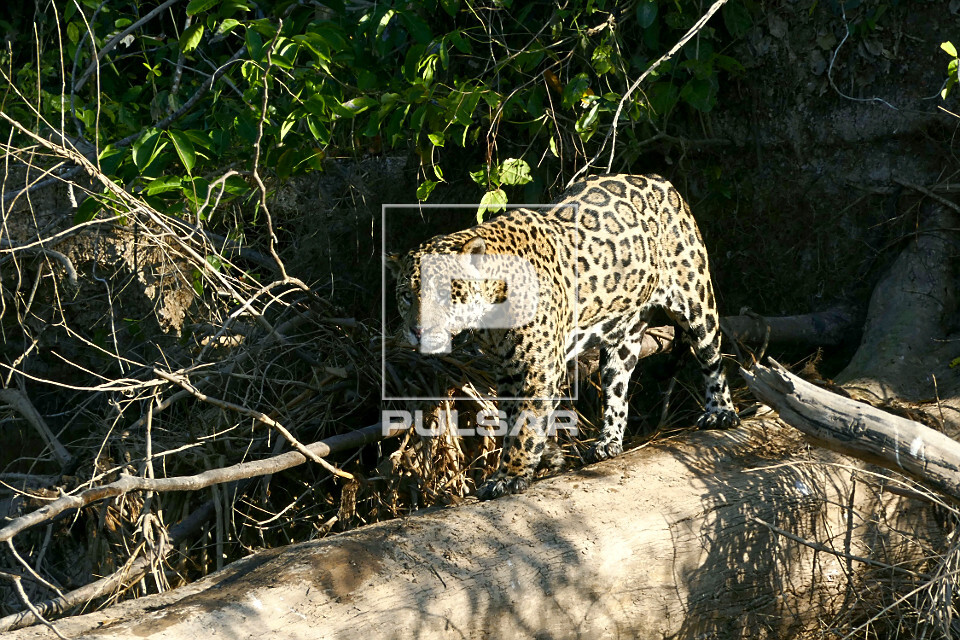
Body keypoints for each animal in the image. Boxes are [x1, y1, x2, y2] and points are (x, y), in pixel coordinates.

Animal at [387, 173, 739, 501]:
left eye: (445, 293)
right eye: (406, 295)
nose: (416, 331)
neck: (490, 316)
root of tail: (660, 180)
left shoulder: (538, 368)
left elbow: (526, 420)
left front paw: (509, 476)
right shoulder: (508, 369)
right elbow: (512, 416)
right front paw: (547, 457)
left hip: (695, 298)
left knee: (712, 357)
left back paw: (721, 412)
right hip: (623, 334)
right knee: (618, 387)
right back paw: (607, 442)